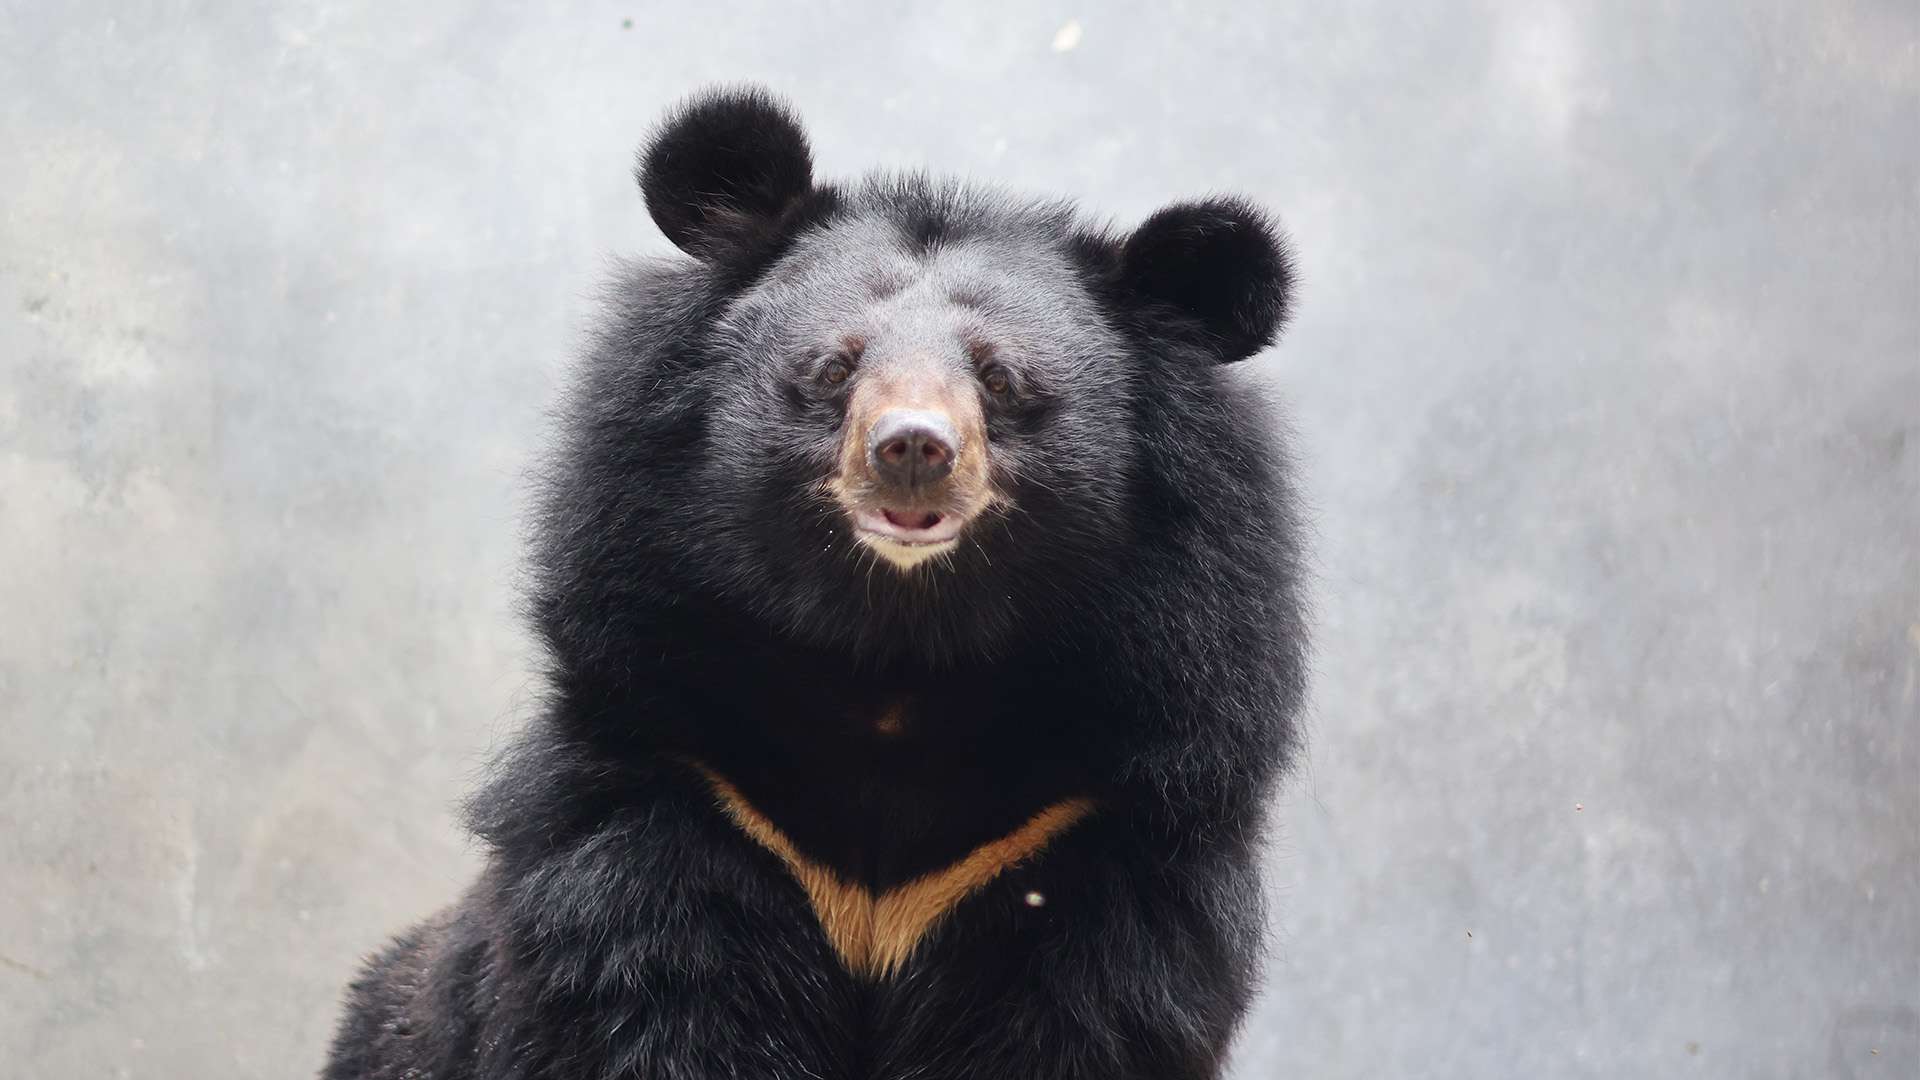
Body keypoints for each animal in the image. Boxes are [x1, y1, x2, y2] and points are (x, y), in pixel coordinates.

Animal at [326, 84, 1305, 1076]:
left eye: (1000, 378)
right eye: (835, 366)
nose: (912, 449)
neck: (892, 660)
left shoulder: (1073, 844)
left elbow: (1070, 1023)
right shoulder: (683, 803)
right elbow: (650, 996)